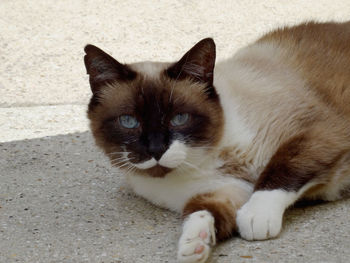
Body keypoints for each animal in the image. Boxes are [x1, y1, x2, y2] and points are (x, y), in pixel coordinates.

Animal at [84, 21, 350, 263]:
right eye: (129, 122)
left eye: (179, 118)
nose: (156, 149)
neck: (207, 160)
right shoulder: (227, 190)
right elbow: (200, 211)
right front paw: (194, 244)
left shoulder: (318, 132)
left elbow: (281, 168)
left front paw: (255, 217)